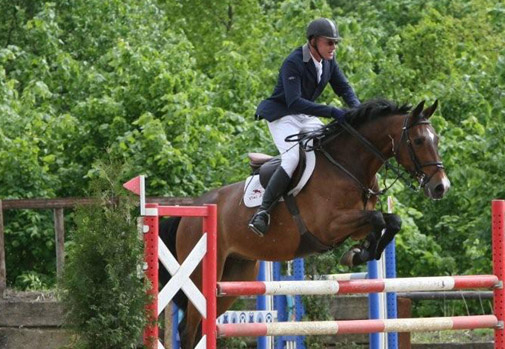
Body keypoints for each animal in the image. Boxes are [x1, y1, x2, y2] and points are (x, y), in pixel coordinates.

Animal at [160, 97, 448, 346]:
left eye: (436, 139)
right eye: (419, 140)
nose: (441, 187)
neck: (347, 165)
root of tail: (194, 209)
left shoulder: (355, 224)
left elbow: (391, 221)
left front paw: (360, 252)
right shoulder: (329, 226)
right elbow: (378, 218)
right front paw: (361, 252)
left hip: (237, 273)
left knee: (199, 327)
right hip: (200, 273)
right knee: (188, 330)